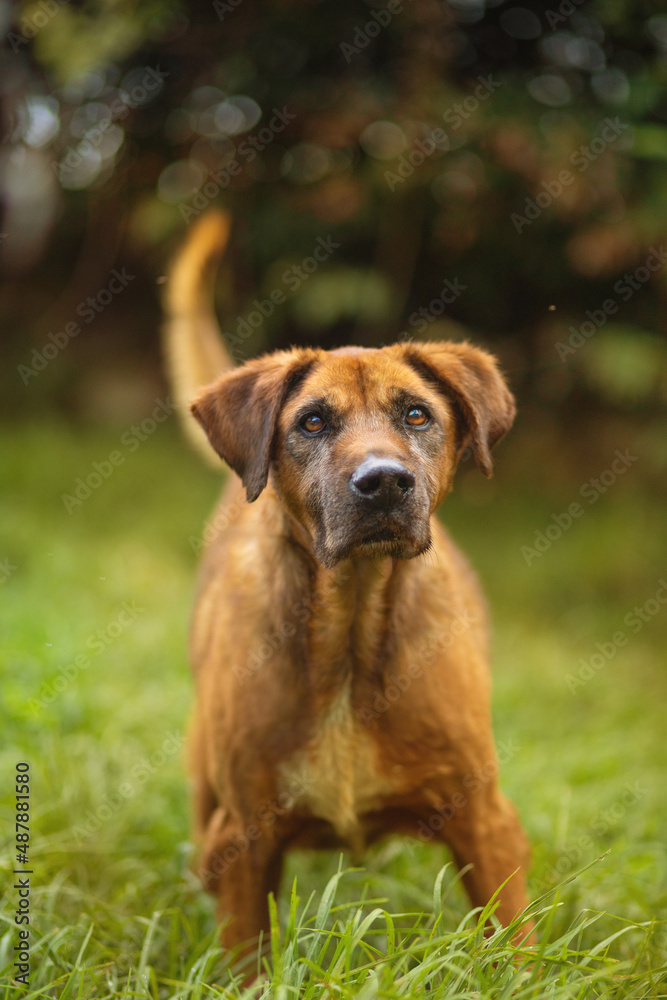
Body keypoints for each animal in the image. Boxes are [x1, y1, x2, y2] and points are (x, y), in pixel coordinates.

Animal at [164, 209, 536, 952]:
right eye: (312, 421)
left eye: (417, 414)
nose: (383, 481)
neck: (351, 632)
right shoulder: (242, 838)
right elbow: (246, 957)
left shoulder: (487, 824)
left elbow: (516, 946)